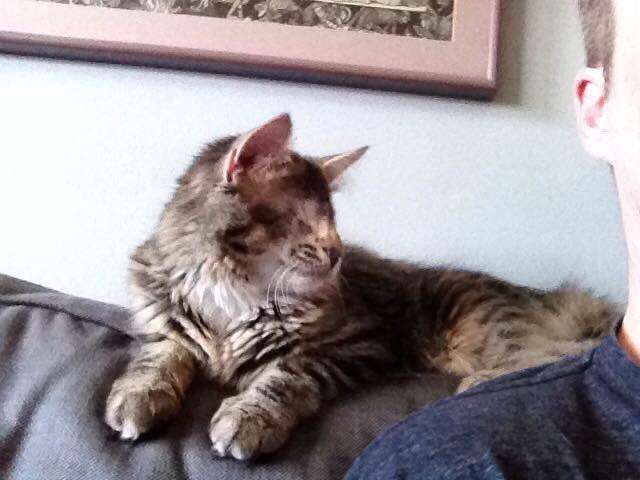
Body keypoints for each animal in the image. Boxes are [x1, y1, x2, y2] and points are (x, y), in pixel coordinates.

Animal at [105, 114, 619, 460]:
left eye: (334, 222)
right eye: (304, 220)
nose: (337, 253)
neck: (232, 291)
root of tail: (547, 298)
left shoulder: (355, 344)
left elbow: (284, 376)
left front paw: (249, 417)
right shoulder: (166, 326)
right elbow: (159, 358)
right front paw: (138, 395)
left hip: (481, 330)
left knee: (567, 355)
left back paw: (480, 382)